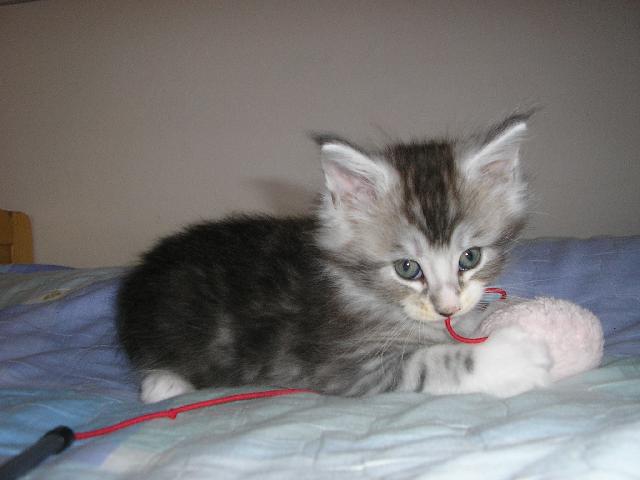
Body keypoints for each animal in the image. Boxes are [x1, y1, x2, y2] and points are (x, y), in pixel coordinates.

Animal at [116, 113, 552, 403]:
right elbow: (430, 362)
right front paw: (515, 358)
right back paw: (164, 384)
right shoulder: (341, 365)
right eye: (407, 268)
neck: (355, 288)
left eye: (470, 258)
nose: (446, 308)